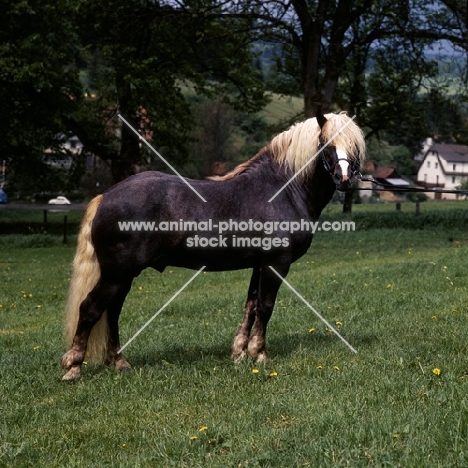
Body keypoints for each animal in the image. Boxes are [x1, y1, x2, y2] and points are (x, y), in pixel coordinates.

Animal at [61, 110, 366, 380]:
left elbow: (250, 306)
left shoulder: (258, 264)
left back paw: (119, 362)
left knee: (112, 312)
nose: (344, 179)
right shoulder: (275, 264)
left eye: (354, 147)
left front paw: (240, 352)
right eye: (326, 144)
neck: (282, 190)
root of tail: (105, 196)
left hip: (123, 275)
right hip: (117, 273)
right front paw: (260, 353)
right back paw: (74, 367)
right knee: (91, 309)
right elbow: (265, 307)